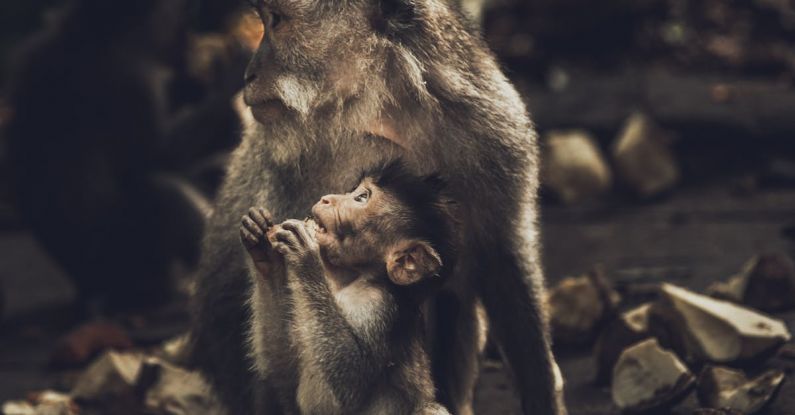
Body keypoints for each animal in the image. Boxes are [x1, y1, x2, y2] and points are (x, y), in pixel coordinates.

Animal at [239, 162, 454, 415]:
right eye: (354, 191)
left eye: (361, 197)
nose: (326, 198)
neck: (351, 279)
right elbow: (284, 377)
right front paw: (264, 249)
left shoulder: (376, 307)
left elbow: (349, 386)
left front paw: (305, 257)